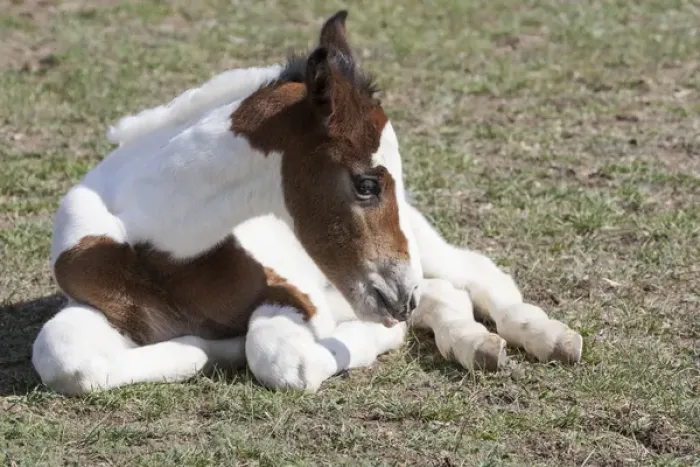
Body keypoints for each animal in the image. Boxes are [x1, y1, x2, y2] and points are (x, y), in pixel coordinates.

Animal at [32, 11, 583, 396]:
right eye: (366, 184)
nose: (399, 296)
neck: (158, 250)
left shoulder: (297, 293)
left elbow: (280, 358)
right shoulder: (95, 305)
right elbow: (62, 357)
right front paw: (209, 349)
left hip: (422, 247)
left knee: (475, 273)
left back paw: (546, 335)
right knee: (444, 293)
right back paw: (473, 343)